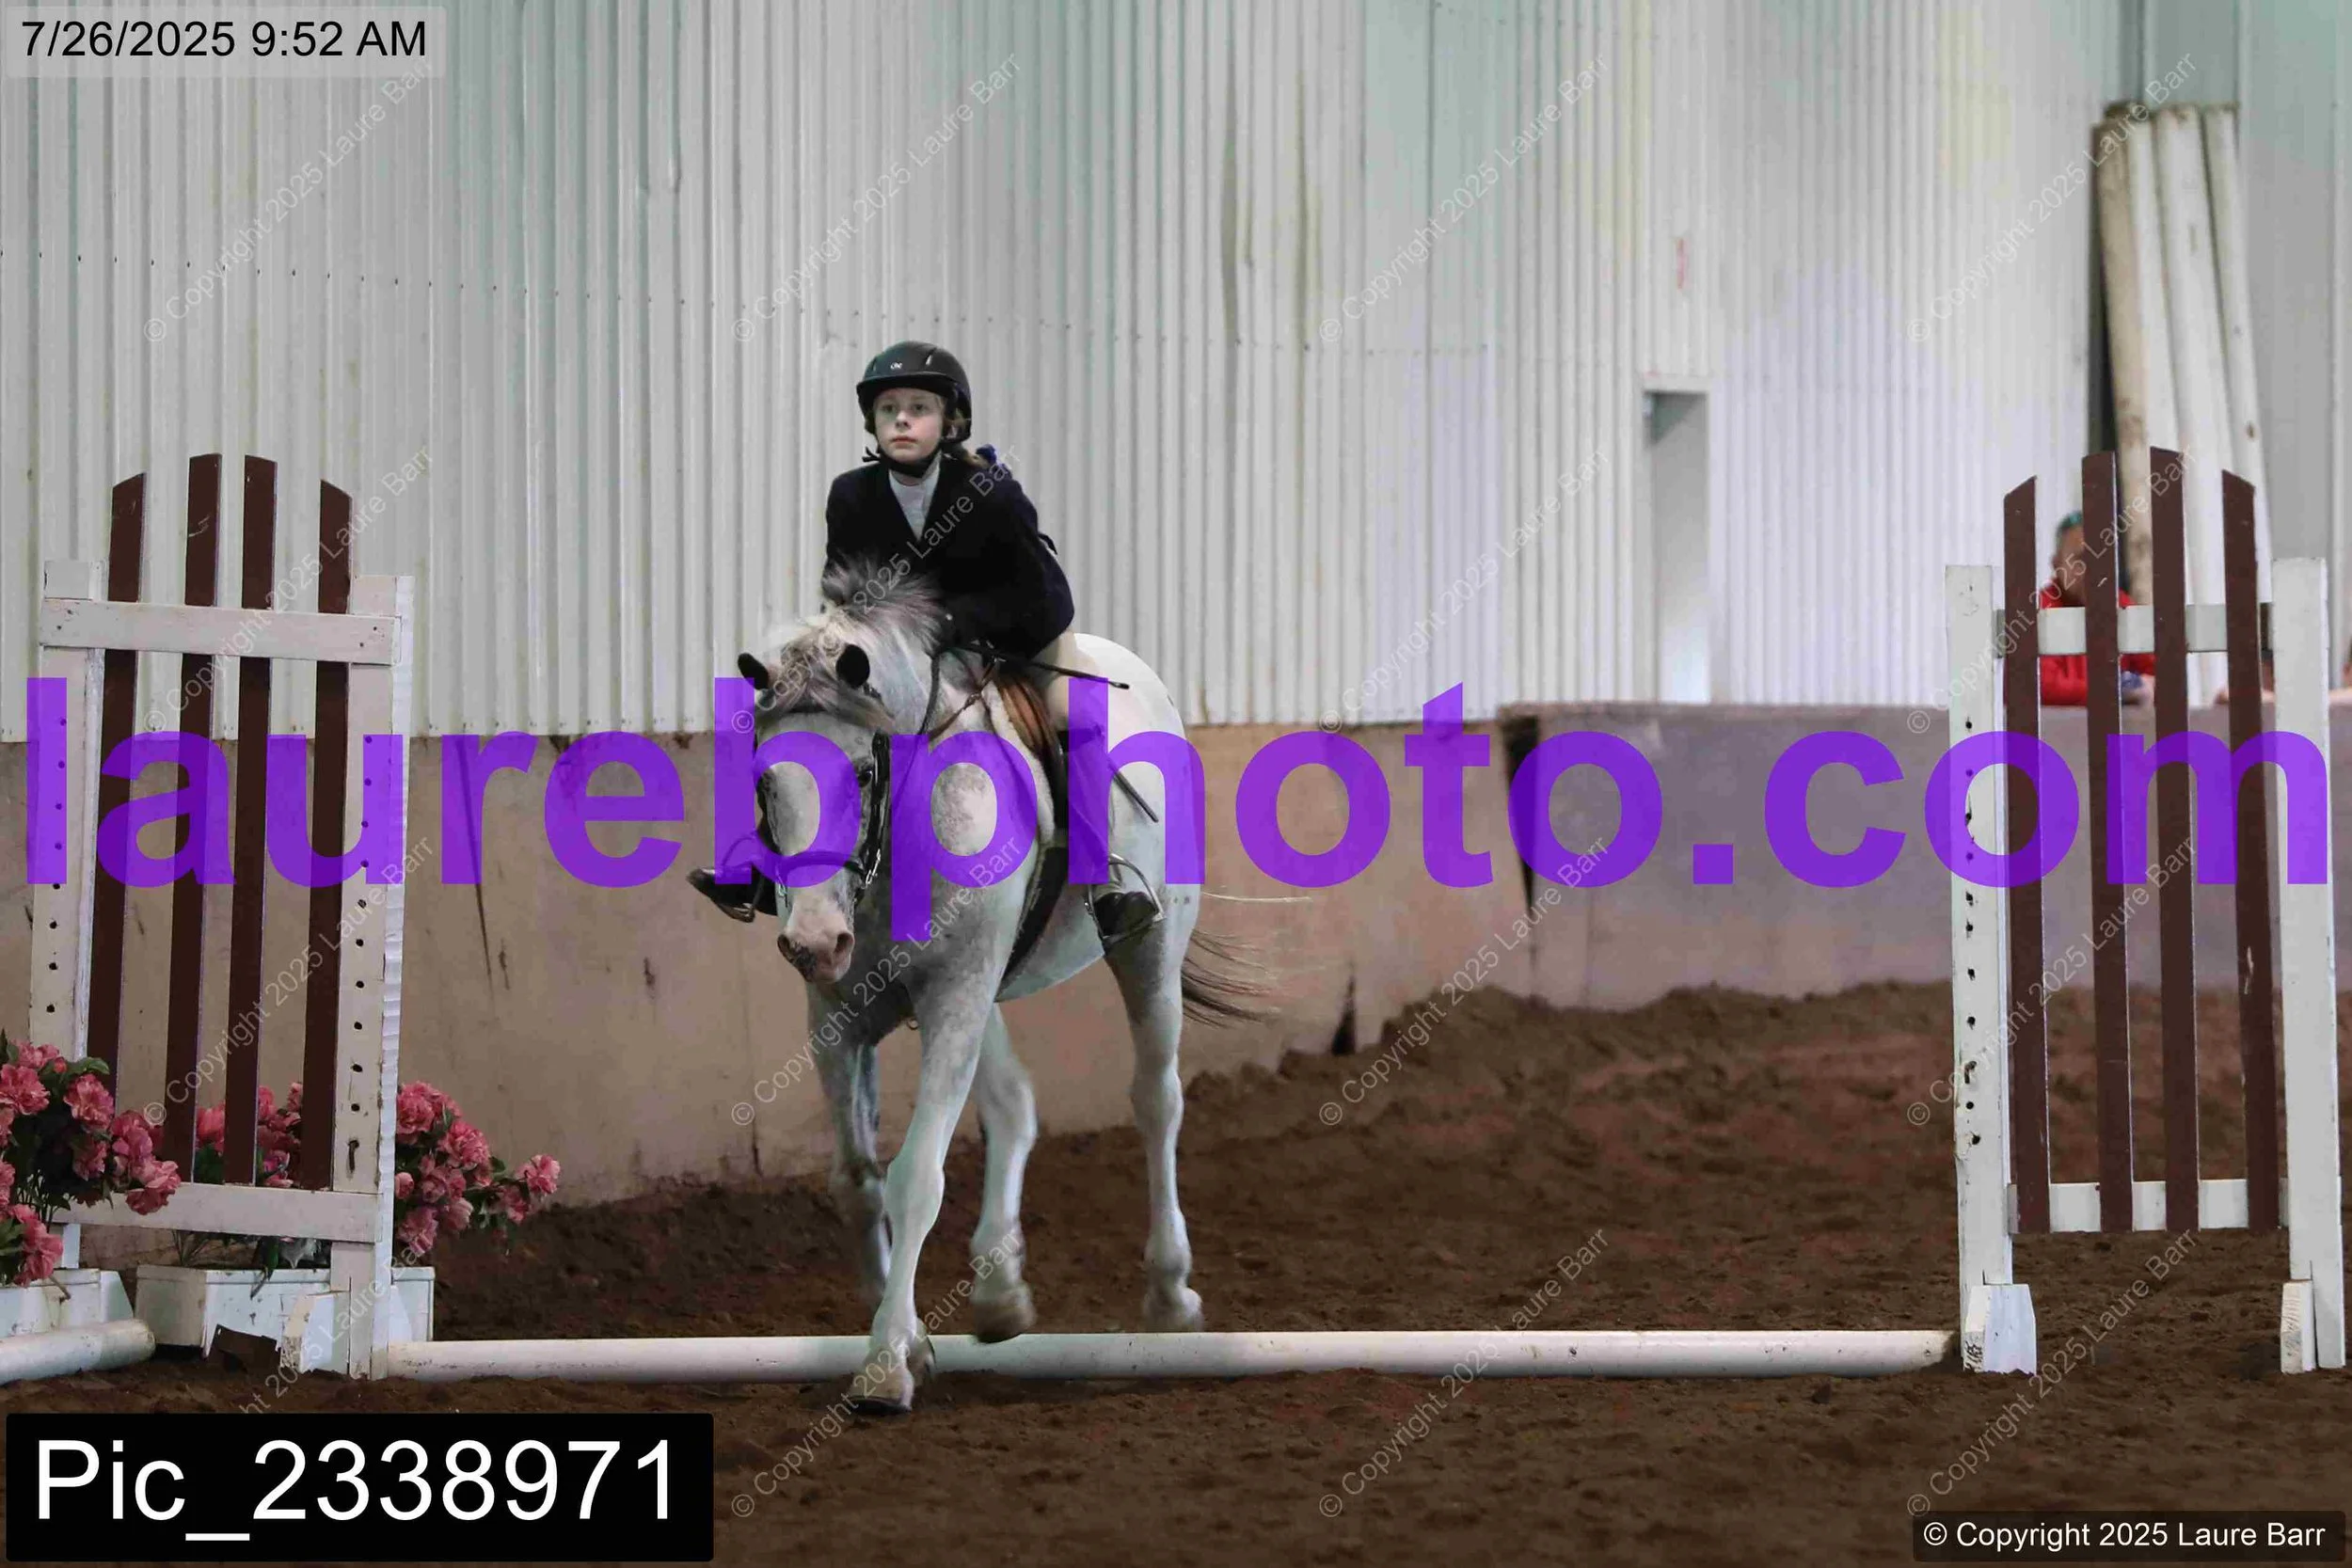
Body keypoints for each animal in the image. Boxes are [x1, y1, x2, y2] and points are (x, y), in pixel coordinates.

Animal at [733, 559, 1269, 1412]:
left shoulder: (954, 990)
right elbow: (857, 1182)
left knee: (1157, 1099)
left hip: (1144, 951)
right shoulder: (840, 1014)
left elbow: (916, 1176)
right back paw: (999, 1294)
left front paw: (885, 1361)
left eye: (862, 772)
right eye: (765, 783)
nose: (813, 942)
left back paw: (1169, 1293)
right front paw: (910, 1339)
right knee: (1015, 1106)